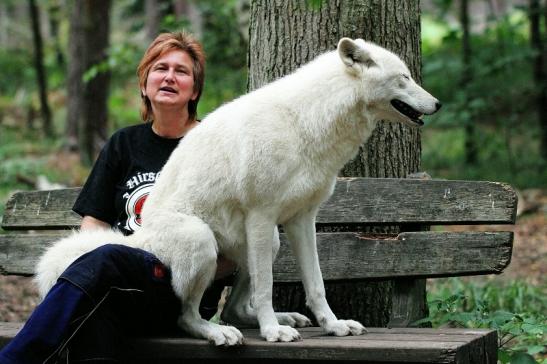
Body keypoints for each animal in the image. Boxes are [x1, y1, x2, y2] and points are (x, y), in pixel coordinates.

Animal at [35, 37, 440, 346]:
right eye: (404, 78)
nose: (437, 103)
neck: (305, 123)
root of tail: (141, 239)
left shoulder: (301, 220)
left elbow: (316, 283)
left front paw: (332, 325)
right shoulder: (262, 215)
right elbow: (266, 288)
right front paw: (273, 333)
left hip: (269, 242)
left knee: (233, 307)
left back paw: (284, 318)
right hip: (204, 240)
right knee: (188, 316)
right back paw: (222, 332)